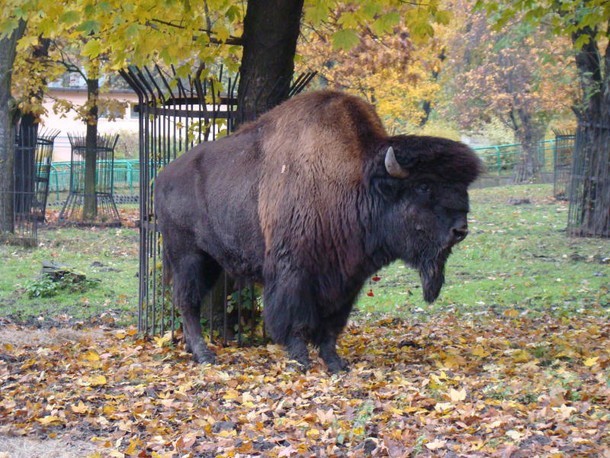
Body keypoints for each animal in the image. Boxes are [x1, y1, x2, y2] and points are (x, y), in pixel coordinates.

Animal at [154, 89, 482, 372]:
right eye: (424, 186)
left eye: (462, 187)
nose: (460, 229)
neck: (356, 180)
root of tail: (163, 176)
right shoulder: (294, 272)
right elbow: (295, 319)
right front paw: (301, 360)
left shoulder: (346, 278)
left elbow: (331, 326)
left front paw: (336, 364)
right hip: (187, 256)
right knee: (187, 302)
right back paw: (204, 355)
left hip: (211, 260)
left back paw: (193, 349)